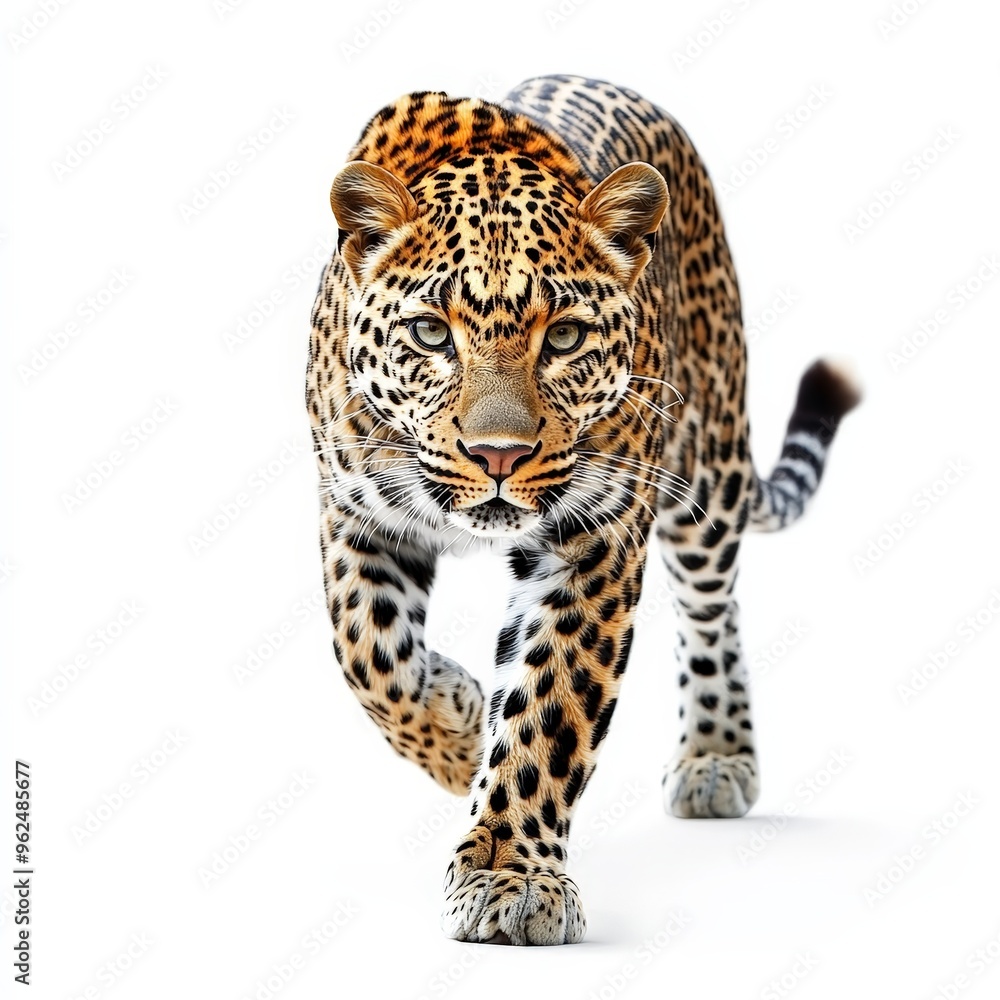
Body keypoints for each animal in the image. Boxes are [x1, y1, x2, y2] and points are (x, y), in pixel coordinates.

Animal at [306, 74, 859, 946]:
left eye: (564, 338)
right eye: (429, 333)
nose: (498, 455)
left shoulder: (593, 537)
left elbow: (547, 706)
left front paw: (510, 876)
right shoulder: (358, 516)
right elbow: (370, 654)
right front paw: (459, 733)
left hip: (705, 471)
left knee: (712, 607)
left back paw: (715, 756)